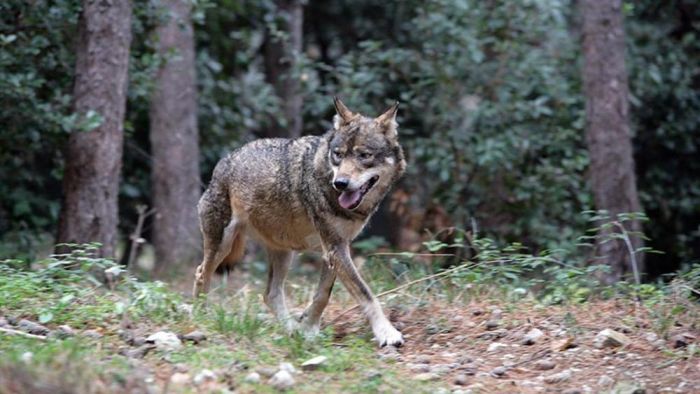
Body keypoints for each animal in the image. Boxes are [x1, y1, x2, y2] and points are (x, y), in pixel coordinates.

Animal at [194, 97, 408, 346]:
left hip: (284, 253)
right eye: (338, 154)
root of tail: (225, 160)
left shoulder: (335, 249)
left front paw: (308, 329)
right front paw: (387, 333)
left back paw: (290, 330)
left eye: (364, 155)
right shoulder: (335, 248)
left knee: (270, 294)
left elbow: (322, 295)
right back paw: (200, 316)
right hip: (223, 244)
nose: (340, 183)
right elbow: (366, 293)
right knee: (201, 273)